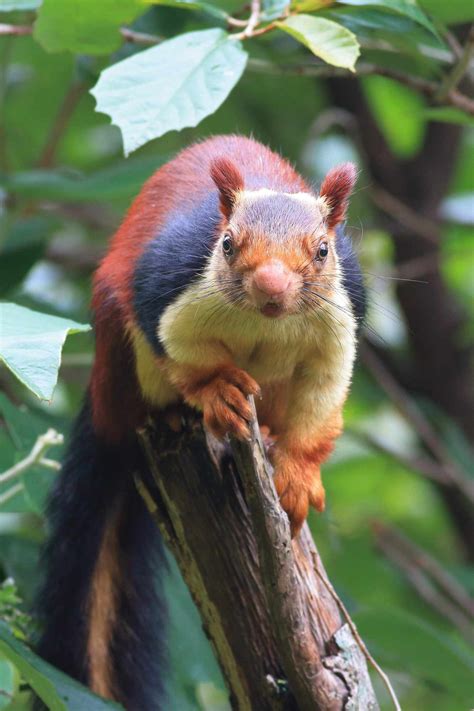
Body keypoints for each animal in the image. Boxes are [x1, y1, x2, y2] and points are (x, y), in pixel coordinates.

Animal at [34, 135, 365, 710]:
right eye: (228, 243)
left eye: (323, 249)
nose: (271, 286)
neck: (264, 322)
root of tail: (107, 413)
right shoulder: (169, 291)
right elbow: (183, 351)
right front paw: (219, 391)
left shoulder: (337, 327)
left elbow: (321, 402)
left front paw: (298, 476)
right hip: (121, 354)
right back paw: (180, 413)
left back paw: (268, 438)